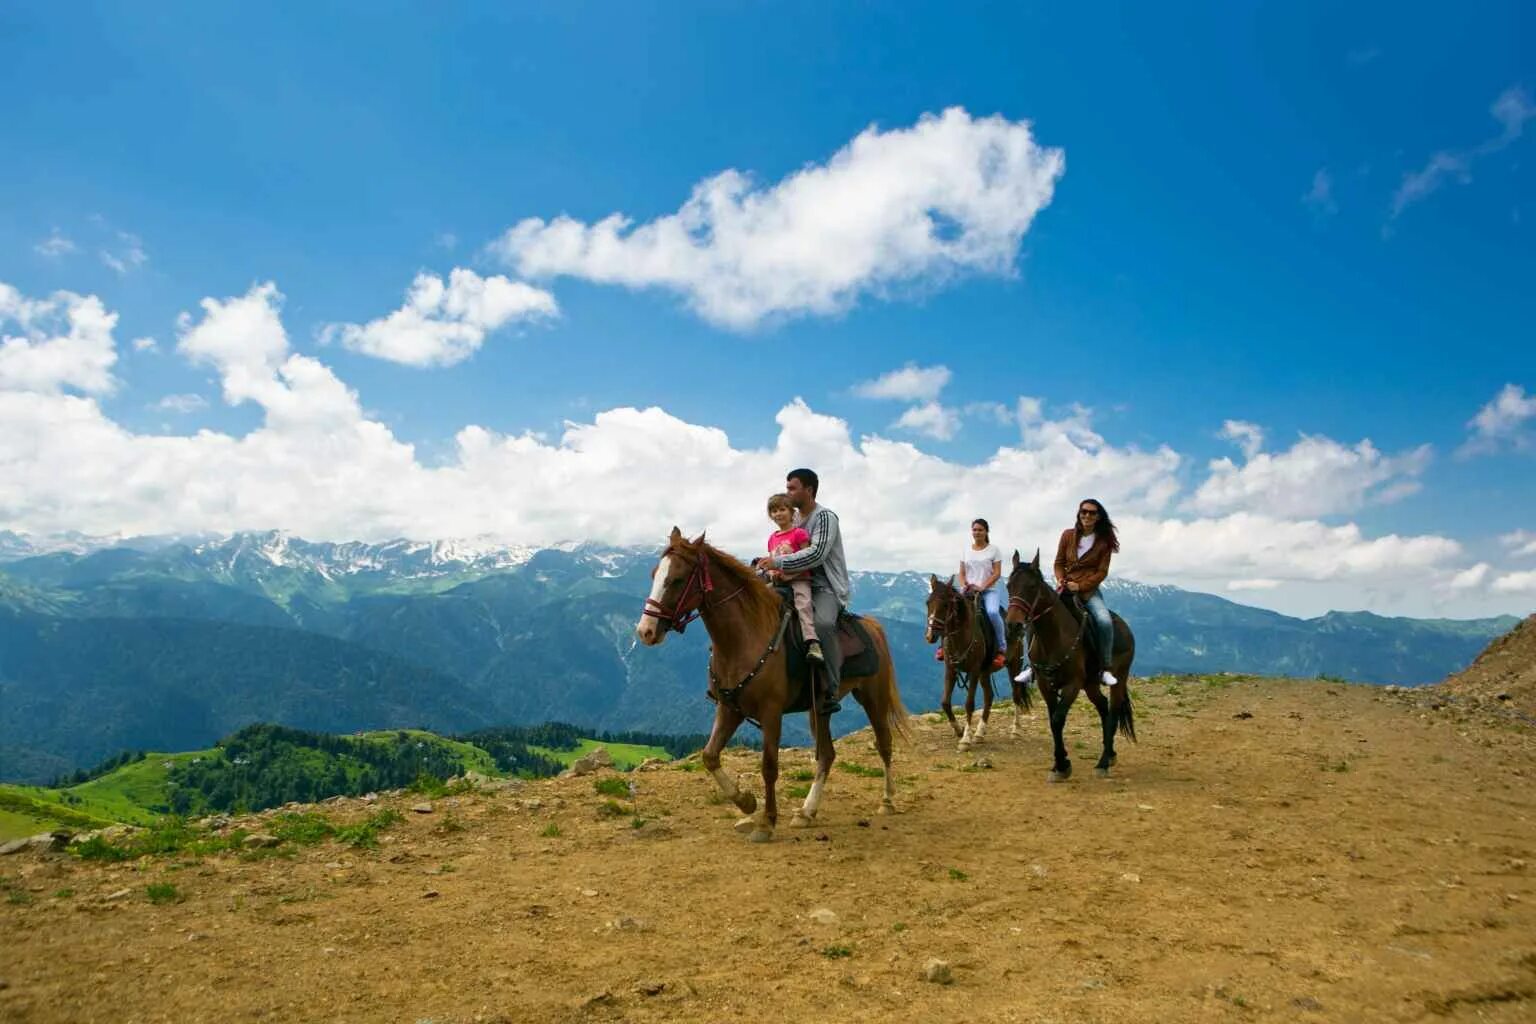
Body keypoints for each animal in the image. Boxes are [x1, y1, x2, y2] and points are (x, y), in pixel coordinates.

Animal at [635, 528, 909, 841]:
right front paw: (745, 802)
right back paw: (806, 812)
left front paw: (766, 822)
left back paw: (887, 801)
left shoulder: (771, 713)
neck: (745, 638)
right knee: (827, 755)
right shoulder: (729, 709)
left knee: (884, 743)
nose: (645, 631)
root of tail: (873, 626)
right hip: (819, 709)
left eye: (677, 579)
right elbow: (710, 756)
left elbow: (769, 766)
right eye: (654, 574)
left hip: (873, 696)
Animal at [921, 577, 1032, 752]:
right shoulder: (951, 670)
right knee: (989, 696)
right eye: (928, 602)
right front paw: (959, 730)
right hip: (984, 672)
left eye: (945, 604)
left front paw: (966, 739)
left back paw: (1015, 730)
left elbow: (969, 704)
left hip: (1013, 666)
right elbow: (945, 702)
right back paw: (980, 733)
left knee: (1016, 695)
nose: (930, 636)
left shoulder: (973, 671)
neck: (961, 636)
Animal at [1001, 552, 1136, 786]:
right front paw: (1060, 764)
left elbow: (1057, 720)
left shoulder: (1072, 685)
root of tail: (1125, 628)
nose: (1013, 625)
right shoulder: (1046, 685)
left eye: (1032, 586)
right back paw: (1109, 754)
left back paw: (1103, 763)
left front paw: (1062, 765)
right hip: (1091, 684)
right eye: (1009, 585)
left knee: (1113, 710)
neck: (1053, 637)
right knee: (1103, 707)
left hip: (1118, 678)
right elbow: (1053, 721)